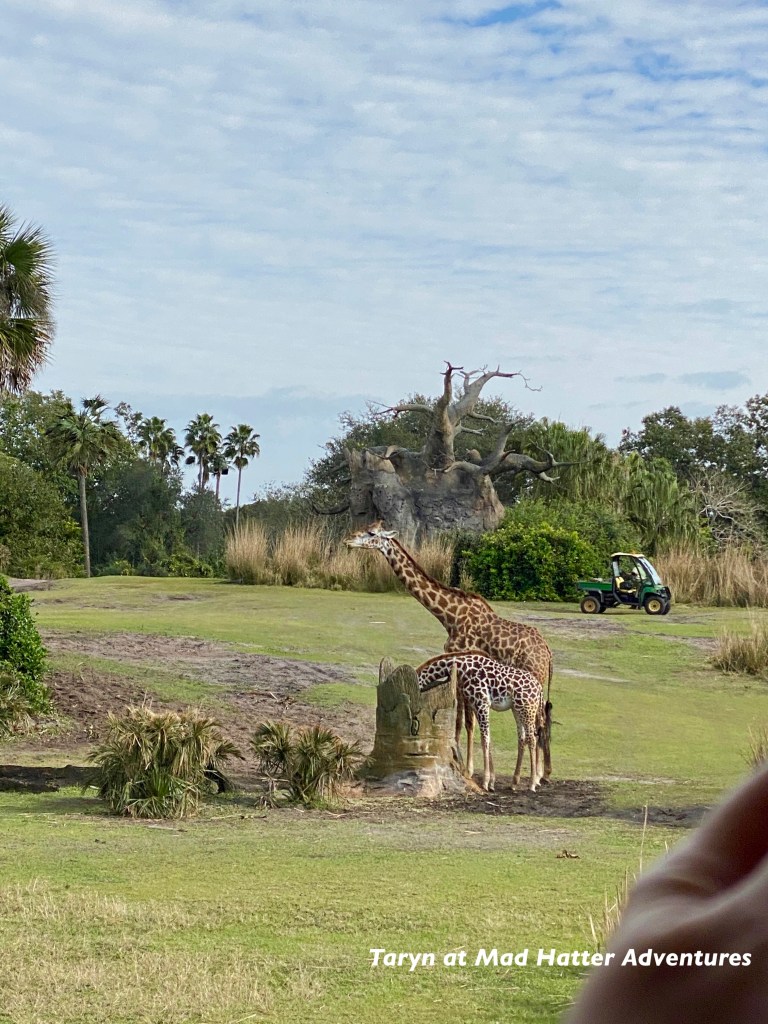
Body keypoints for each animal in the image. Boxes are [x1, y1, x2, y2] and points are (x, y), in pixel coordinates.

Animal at [344, 521, 554, 776]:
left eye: (372, 533)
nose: (348, 540)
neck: (449, 616)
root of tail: (548, 653)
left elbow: (464, 721)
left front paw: (466, 766)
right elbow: (463, 719)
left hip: (533, 679)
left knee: (538, 721)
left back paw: (539, 774)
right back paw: (540, 773)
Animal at [416, 651, 546, 792]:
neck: (462, 669)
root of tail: (539, 689)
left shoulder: (482, 703)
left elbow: (485, 739)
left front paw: (485, 782)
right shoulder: (476, 705)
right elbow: (488, 739)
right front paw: (492, 782)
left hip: (527, 709)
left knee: (532, 738)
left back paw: (532, 783)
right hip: (517, 709)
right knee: (522, 738)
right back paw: (514, 782)